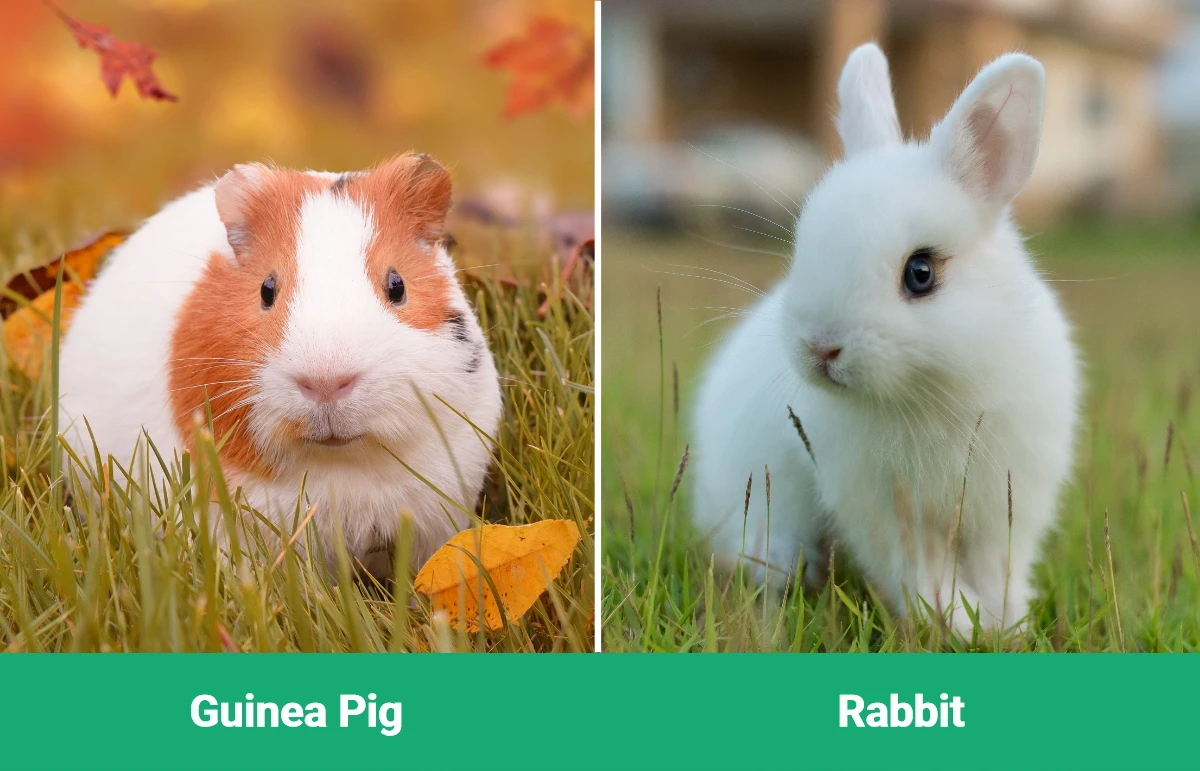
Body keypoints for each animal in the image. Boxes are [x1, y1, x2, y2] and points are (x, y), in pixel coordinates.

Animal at [690, 44, 1080, 634]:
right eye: (804, 248)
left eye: (921, 273)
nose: (820, 347)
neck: (933, 393)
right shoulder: (885, 513)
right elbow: (920, 571)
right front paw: (957, 623)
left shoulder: (1008, 505)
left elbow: (999, 567)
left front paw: (1004, 625)